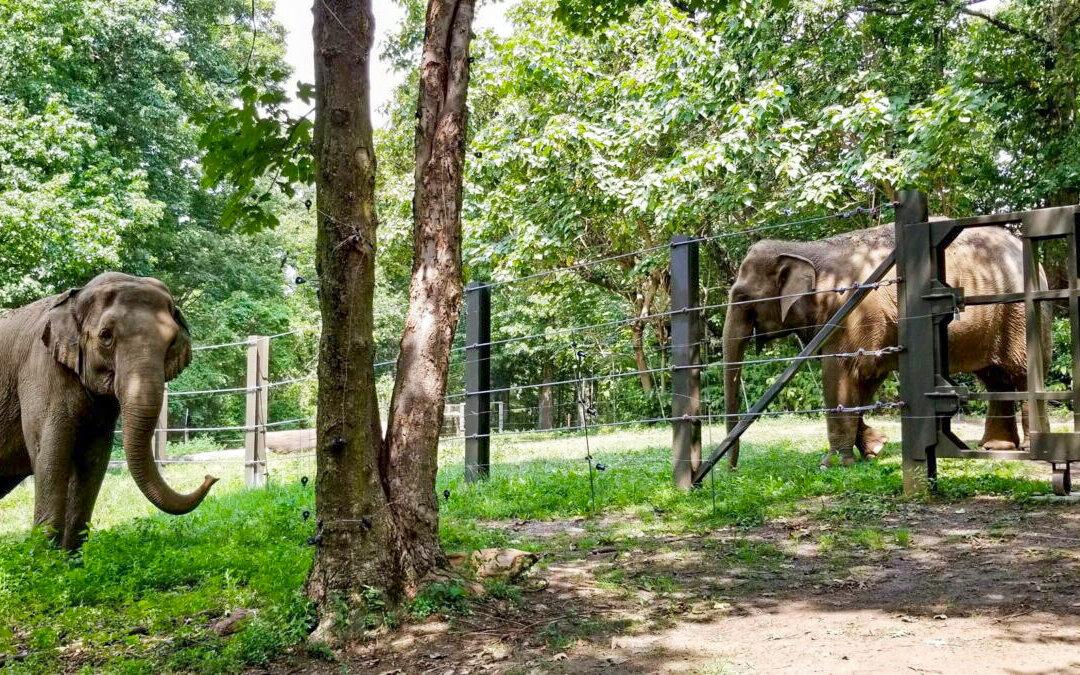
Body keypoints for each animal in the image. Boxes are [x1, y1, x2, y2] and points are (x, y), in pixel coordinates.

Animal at [0, 273, 217, 549]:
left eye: (171, 341)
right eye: (105, 336)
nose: (210, 476)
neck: (76, 296)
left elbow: (94, 457)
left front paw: (70, 559)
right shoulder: (40, 371)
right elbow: (49, 452)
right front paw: (45, 560)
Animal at [722, 223, 1045, 467]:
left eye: (741, 297)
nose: (732, 469)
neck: (805, 248)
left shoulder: (854, 311)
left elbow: (840, 373)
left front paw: (833, 464)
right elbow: (867, 376)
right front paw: (874, 448)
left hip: (1020, 313)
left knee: (1020, 372)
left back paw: (1029, 449)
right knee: (994, 377)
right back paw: (995, 448)